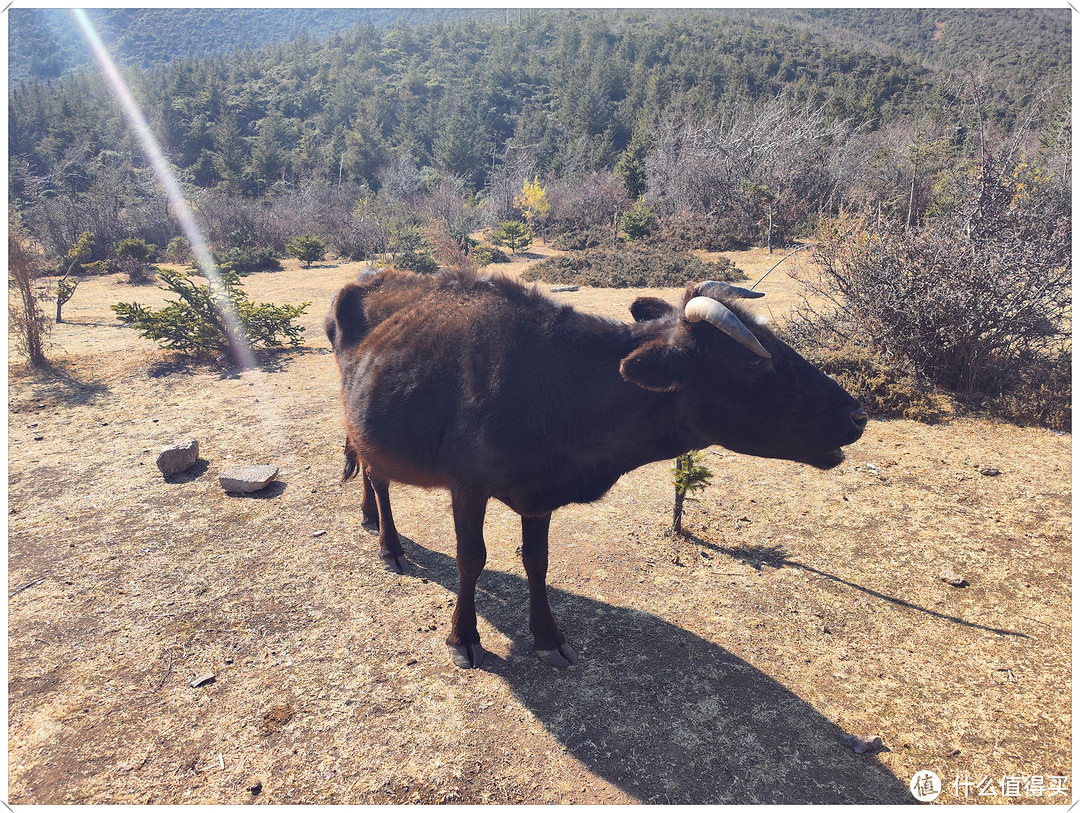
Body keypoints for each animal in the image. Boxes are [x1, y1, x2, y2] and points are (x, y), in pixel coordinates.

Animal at [324, 269, 864, 669]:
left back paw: (370, 518)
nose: (858, 414)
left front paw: (547, 636)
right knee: (377, 475)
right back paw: (389, 545)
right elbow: (470, 559)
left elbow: (536, 561)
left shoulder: (537, 493)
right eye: (755, 363)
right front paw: (464, 637)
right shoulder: (468, 486)